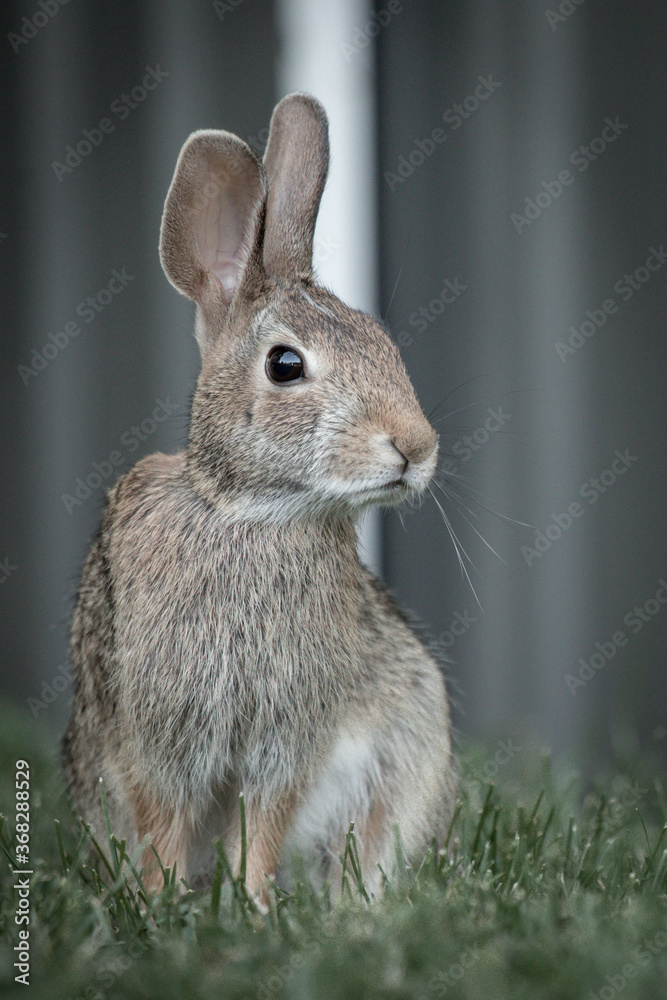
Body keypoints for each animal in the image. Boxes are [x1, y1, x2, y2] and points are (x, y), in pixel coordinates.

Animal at [62, 92, 456, 903]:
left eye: (381, 341)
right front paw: (162, 904)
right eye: (285, 366)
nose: (415, 446)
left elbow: (263, 824)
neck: (249, 510)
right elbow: (164, 823)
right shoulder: (157, 730)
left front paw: (248, 905)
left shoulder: (290, 738)